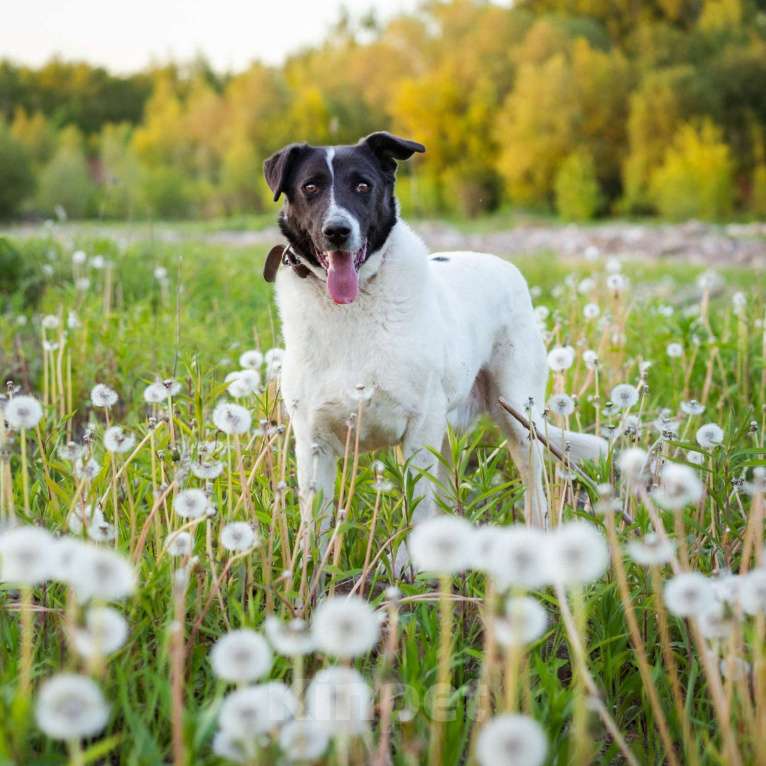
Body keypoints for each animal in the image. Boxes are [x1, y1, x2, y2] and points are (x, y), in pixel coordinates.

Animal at [264, 132, 608, 568]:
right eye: (310, 187)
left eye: (362, 186)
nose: (337, 231)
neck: (352, 309)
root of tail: (501, 263)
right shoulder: (313, 441)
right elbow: (316, 523)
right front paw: (312, 572)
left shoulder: (419, 428)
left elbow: (418, 508)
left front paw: (409, 569)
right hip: (448, 431)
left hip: (516, 415)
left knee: (534, 483)